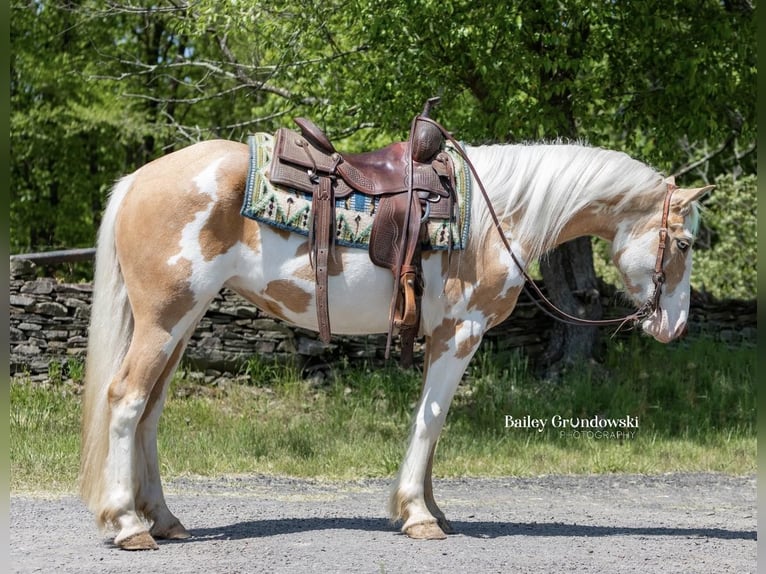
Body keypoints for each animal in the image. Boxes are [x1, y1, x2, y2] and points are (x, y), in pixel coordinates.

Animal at [78, 119, 712, 552]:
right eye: (683, 244)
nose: (676, 326)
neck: (500, 216)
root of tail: (139, 178)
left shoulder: (439, 336)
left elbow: (433, 423)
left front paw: (429, 508)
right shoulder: (461, 332)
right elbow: (429, 421)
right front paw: (419, 516)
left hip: (181, 322)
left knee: (151, 409)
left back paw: (163, 519)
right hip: (166, 318)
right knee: (127, 400)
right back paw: (128, 524)